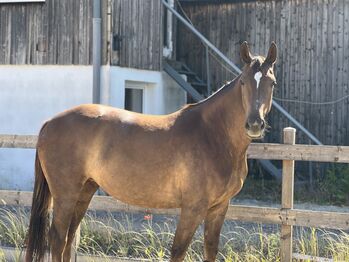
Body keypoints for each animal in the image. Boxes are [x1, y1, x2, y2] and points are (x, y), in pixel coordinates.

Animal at [25, 42, 278, 260]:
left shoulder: (219, 208)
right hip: (65, 195)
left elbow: (210, 249)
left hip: (84, 191)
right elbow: (178, 251)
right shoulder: (192, 208)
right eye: (243, 82)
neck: (212, 133)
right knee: (58, 239)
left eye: (272, 83)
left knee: (69, 239)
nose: (254, 124)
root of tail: (50, 122)